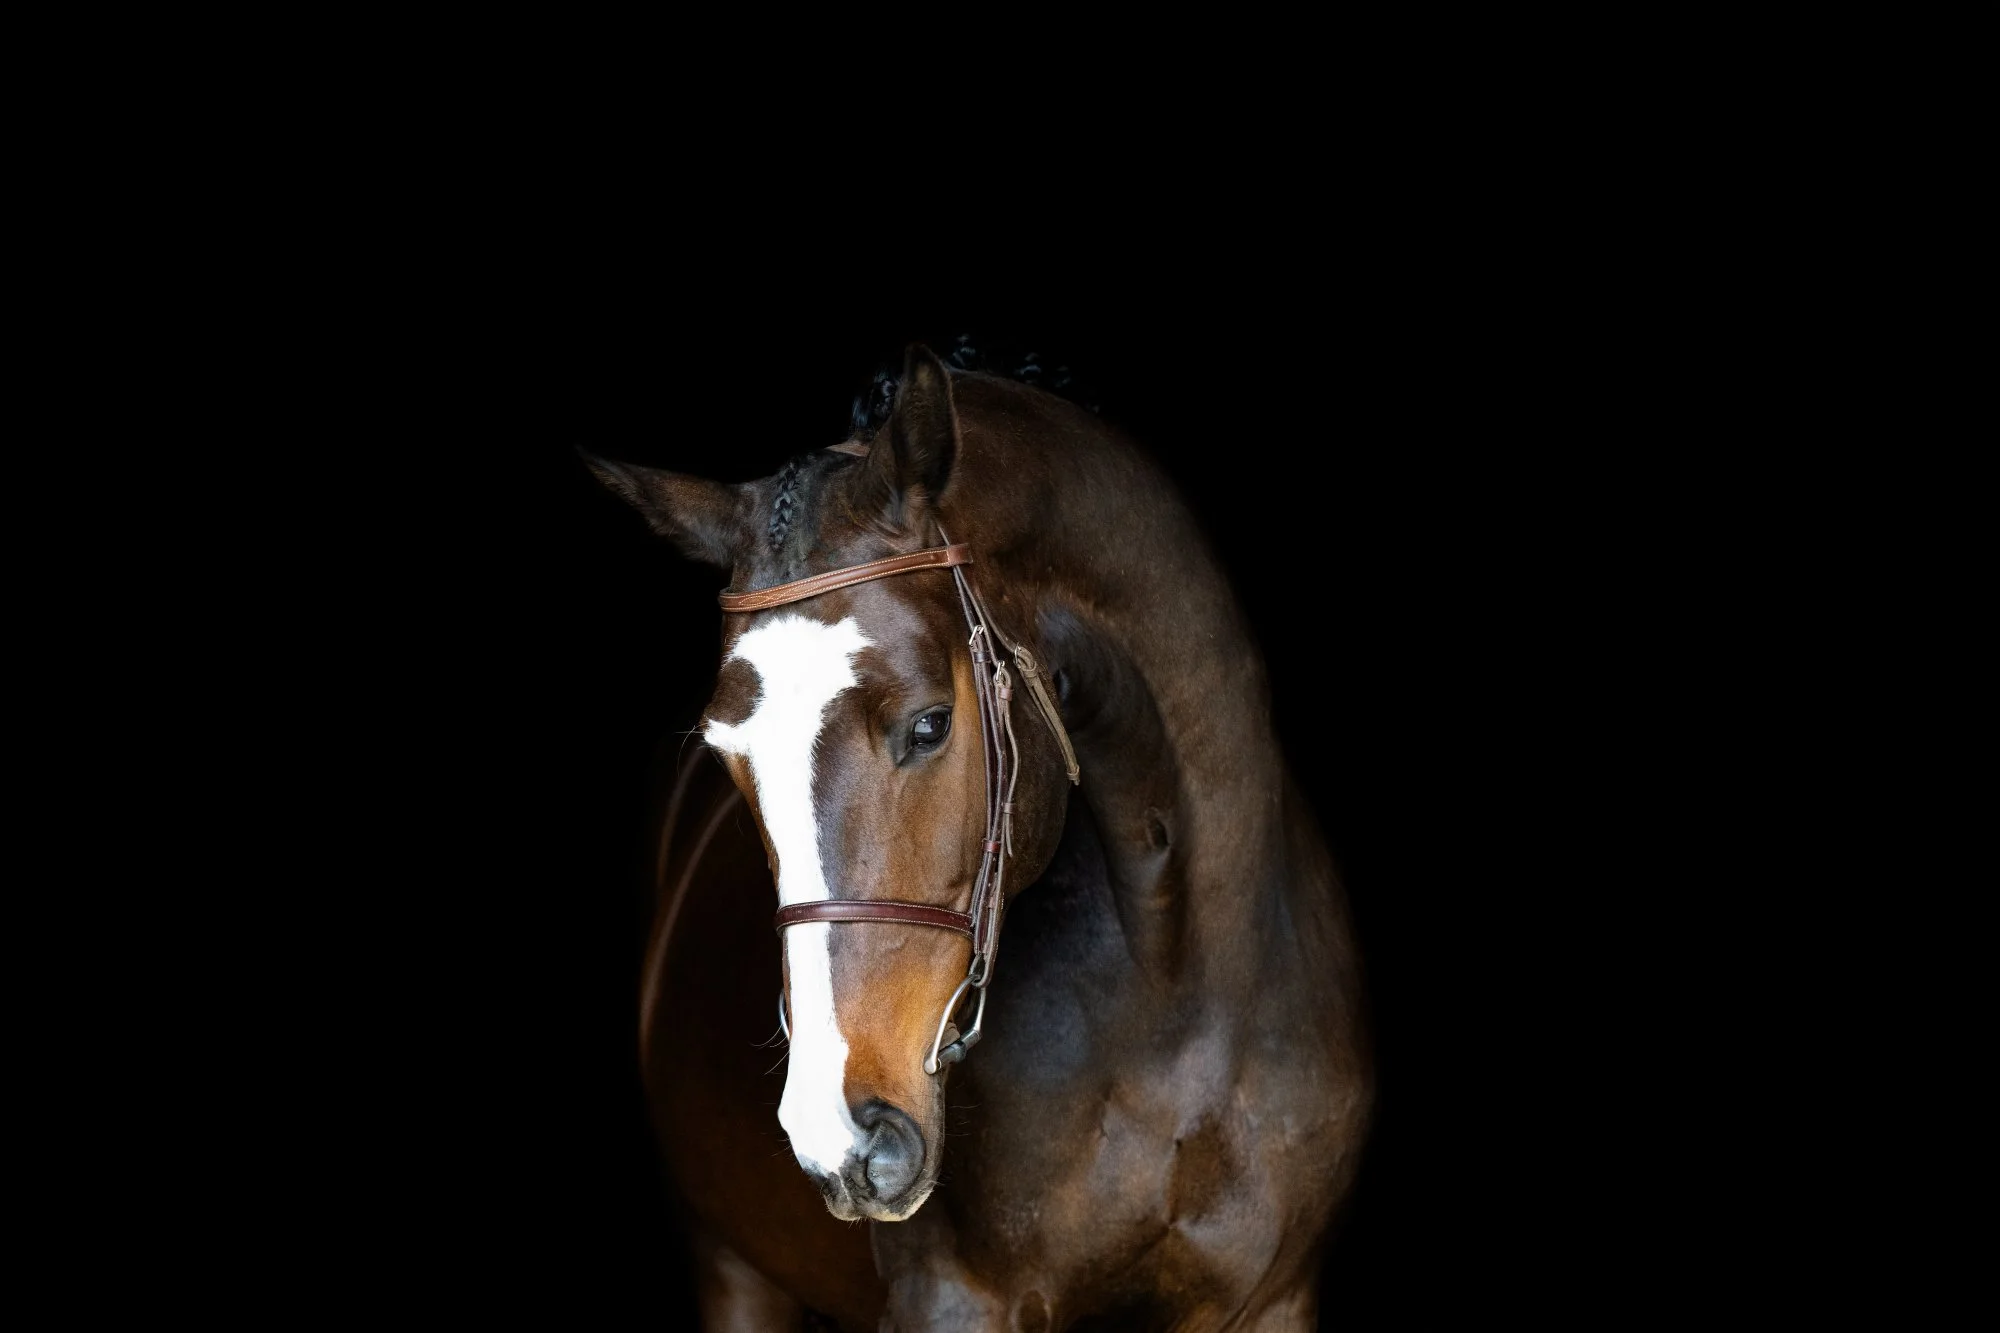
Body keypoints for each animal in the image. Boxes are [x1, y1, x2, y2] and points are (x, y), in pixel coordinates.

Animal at [586, 344, 1372, 1330]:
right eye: (730, 759)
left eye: (930, 725)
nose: (838, 1135)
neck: (1184, 990)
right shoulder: (950, 1297)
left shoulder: (1275, 1299)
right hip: (731, 1266)